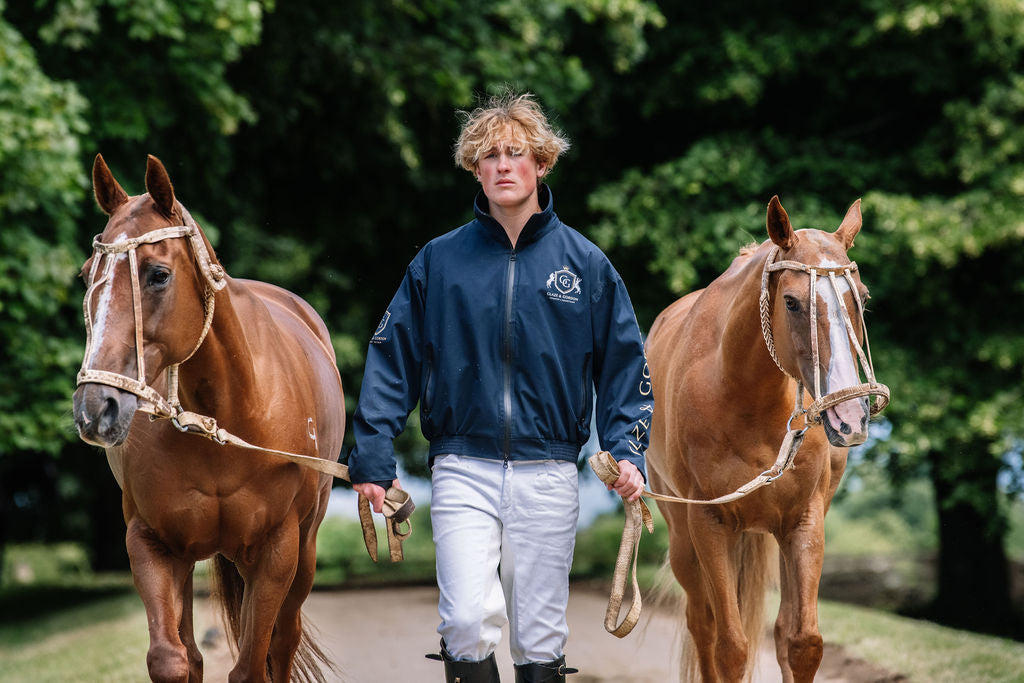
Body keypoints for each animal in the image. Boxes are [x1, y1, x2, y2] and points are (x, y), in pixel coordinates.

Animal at [73, 156, 344, 683]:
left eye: (158, 274)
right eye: (85, 275)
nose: (95, 407)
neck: (222, 418)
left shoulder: (276, 551)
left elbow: (252, 665)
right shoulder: (151, 542)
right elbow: (172, 659)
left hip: (304, 552)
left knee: (284, 641)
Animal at [647, 194, 888, 679]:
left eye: (862, 298)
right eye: (792, 302)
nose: (849, 417)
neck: (743, 396)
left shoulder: (805, 521)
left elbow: (803, 642)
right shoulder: (710, 525)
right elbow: (730, 647)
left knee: (779, 630)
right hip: (682, 538)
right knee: (702, 625)